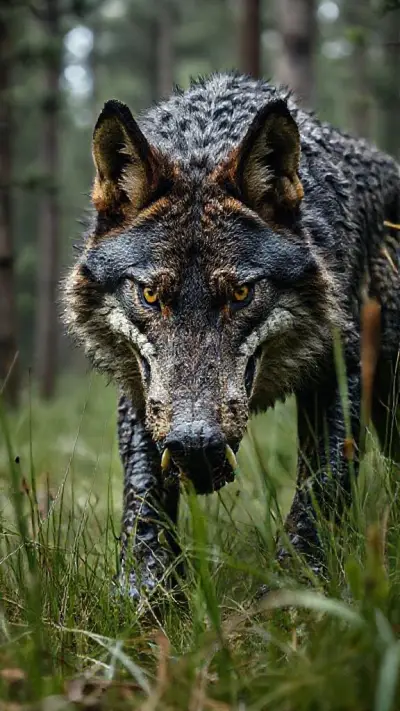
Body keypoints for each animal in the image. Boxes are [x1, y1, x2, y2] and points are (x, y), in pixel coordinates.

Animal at [63, 72, 400, 599]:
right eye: (150, 296)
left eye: (241, 294)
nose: (195, 442)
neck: (204, 141)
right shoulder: (141, 391)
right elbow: (143, 496)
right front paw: (146, 592)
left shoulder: (341, 371)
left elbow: (322, 485)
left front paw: (296, 590)